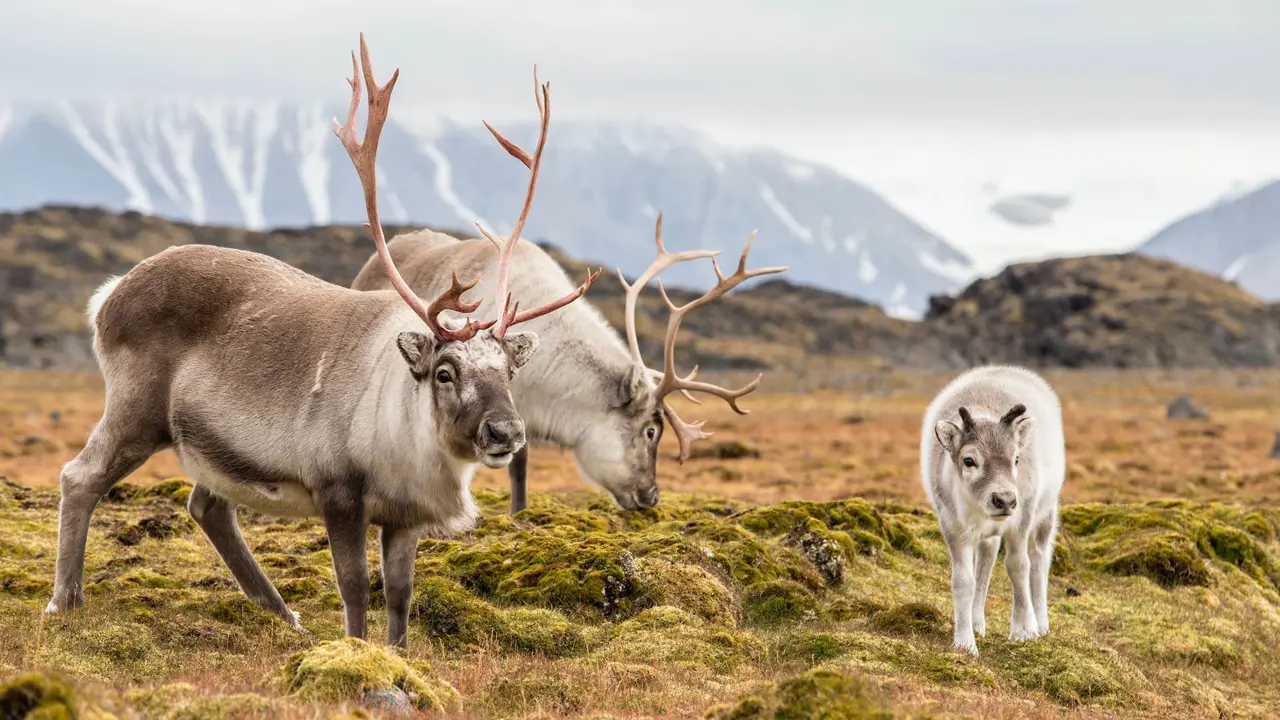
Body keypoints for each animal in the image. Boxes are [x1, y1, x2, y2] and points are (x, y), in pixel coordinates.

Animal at [45, 34, 598, 648]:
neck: (406, 432)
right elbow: (354, 586)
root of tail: (109, 296)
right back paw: (65, 600)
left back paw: (283, 614)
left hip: (209, 445)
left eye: (508, 369)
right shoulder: (339, 494)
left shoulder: (403, 516)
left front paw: (398, 655)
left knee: (206, 506)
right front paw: (356, 651)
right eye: (445, 371)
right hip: (136, 413)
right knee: (80, 477)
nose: (506, 432)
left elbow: (400, 594)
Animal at [920, 364, 1066, 656]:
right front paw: (965, 642)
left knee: (1039, 562)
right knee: (986, 563)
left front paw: (1023, 631)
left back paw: (1041, 623)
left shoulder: (1021, 521)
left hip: (1046, 514)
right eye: (969, 460)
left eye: (1016, 459)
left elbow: (1019, 567)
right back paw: (977, 622)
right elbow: (963, 581)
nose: (1005, 500)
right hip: (988, 536)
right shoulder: (953, 527)